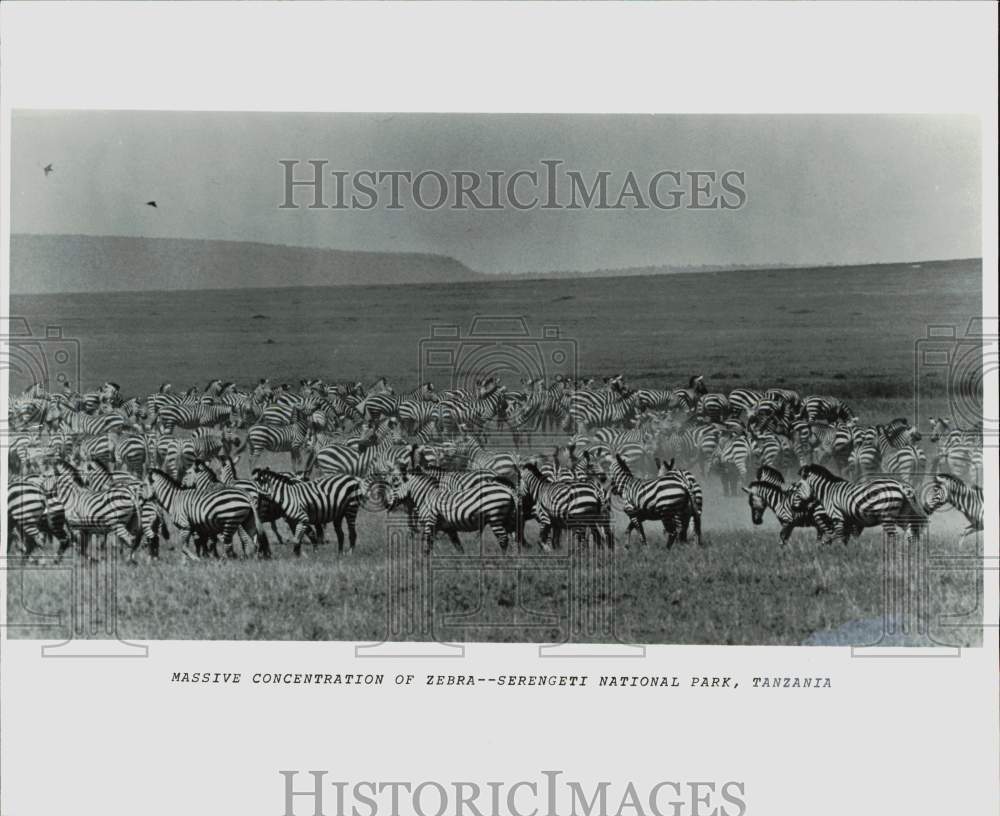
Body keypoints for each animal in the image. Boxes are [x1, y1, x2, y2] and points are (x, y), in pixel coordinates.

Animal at [386, 472, 520, 556]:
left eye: (395, 485)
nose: (387, 505)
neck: (426, 497)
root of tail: (508, 490)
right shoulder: (449, 529)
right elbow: (458, 546)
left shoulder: (430, 523)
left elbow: (427, 546)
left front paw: (424, 563)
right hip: (508, 520)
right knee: (514, 538)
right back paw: (515, 557)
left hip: (495, 518)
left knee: (503, 539)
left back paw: (503, 560)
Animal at [792, 462, 924, 544]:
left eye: (797, 487)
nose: (793, 507)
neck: (827, 491)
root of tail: (900, 485)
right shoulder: (849, 520)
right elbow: (846, 538)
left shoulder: (837, 516)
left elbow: (840, 537)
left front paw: (839, 553)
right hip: (903, 514)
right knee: (910, 532)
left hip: (887, 516)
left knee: (895, 536)